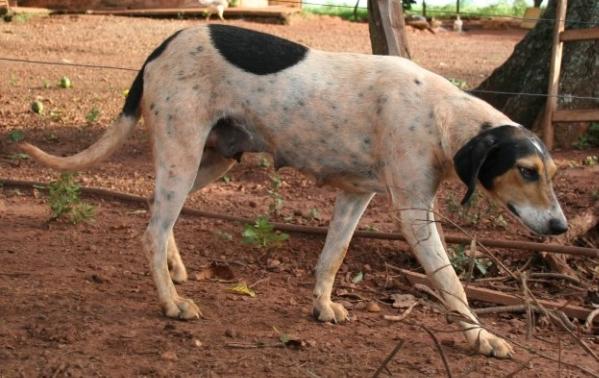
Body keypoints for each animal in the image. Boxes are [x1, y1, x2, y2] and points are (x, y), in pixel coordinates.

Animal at [21, 25, 568, 358]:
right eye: (526, 171)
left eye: (552, 172)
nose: (561, 226)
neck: (443, 116)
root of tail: (164, 43)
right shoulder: (414, 212)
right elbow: (451, 282)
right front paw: (481, 336)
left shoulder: (356, 196)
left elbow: (332, 257)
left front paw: (322, 307)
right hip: (183, 152)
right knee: (152, 230)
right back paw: (171, 303)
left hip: (212, 160)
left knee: (157, 212)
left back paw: (175, 272)